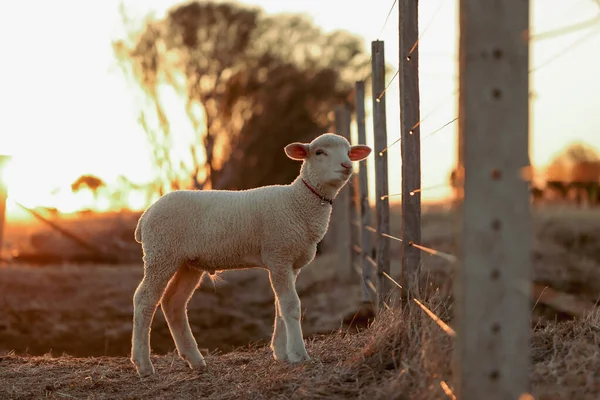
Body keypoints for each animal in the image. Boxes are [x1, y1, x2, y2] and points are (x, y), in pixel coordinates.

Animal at [132, 133, 370, 376]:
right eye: (319, 152)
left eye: (349, 152)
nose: (347, 165)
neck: (298, 202)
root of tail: (146, 215)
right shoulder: (279, 254)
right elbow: (291, 306)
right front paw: (298, 354)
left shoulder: (289, 264)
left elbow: (279, 307)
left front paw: (281, 353)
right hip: (161, 253)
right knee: (144, 300)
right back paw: (143, 364)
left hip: (187, 263)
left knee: (173, 302)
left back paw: (195, 360)